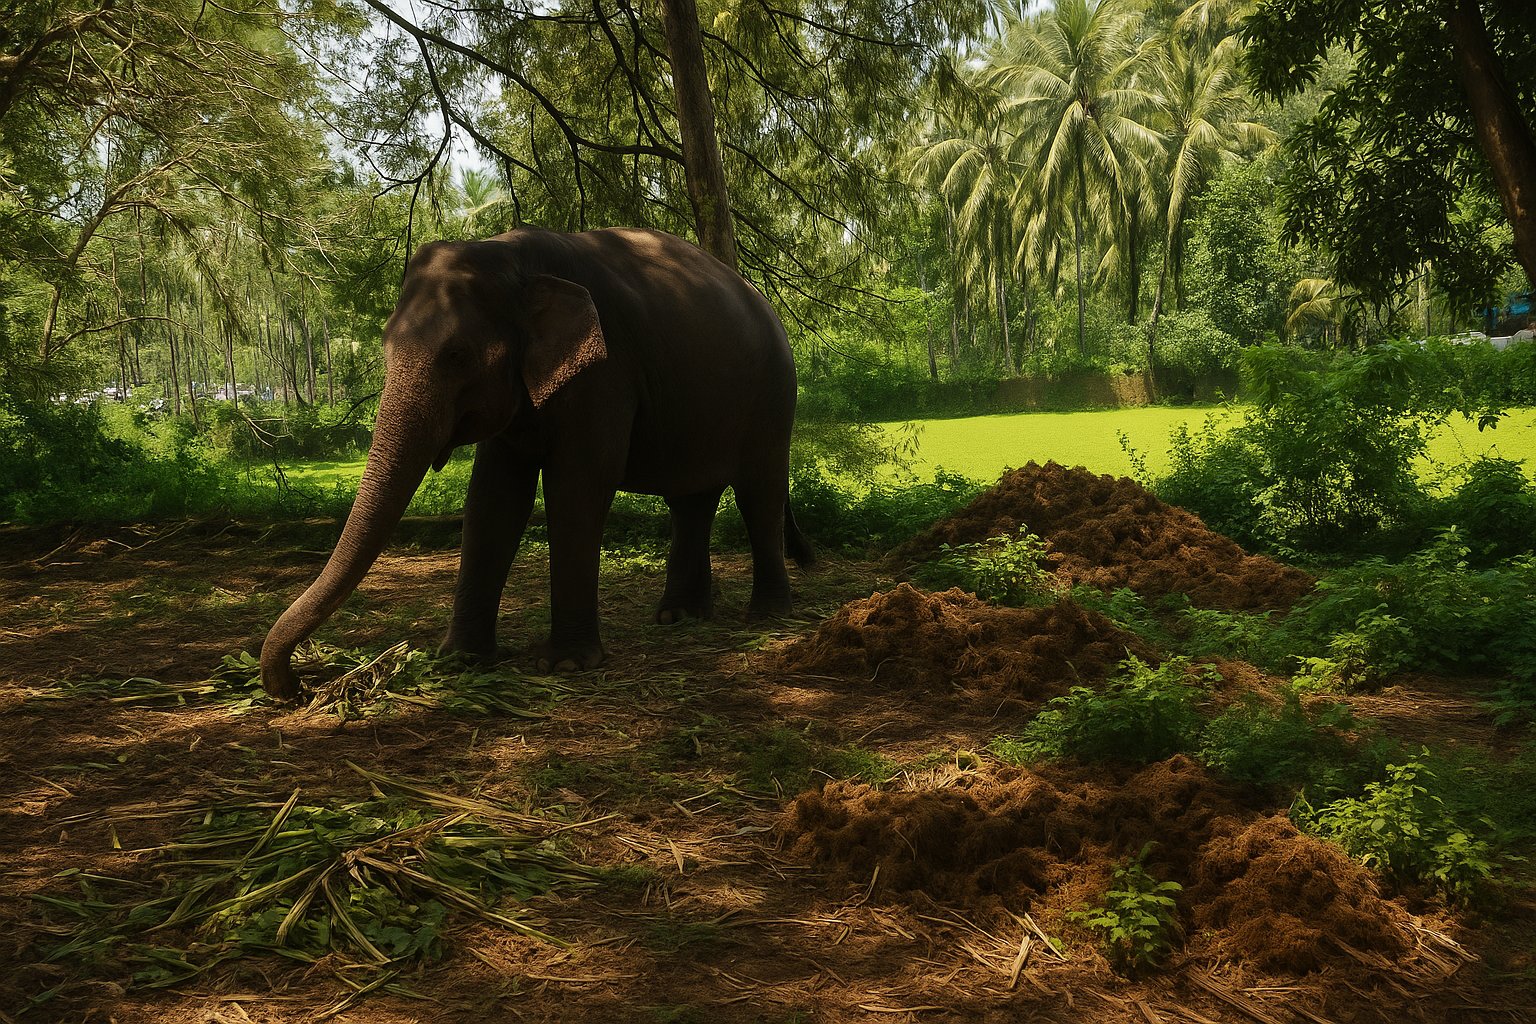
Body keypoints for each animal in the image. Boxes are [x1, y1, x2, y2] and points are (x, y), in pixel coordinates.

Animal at [259, 226, 812, 699]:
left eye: (457, 355)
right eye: (386, 344)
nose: (299, 685)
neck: (511, 256)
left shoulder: (605, 370)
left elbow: (578, 486)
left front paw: (565, 664)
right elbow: (493, 497)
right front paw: (460, 659)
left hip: (774, 394)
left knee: (759, 489)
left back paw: (766, 617)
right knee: (691, 499)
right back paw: (678, 617)